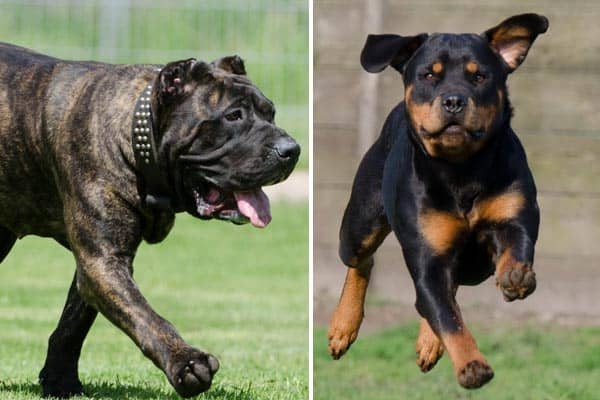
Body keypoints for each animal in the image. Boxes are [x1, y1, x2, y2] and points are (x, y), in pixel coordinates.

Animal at [0, 42, 300, 398]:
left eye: (271, 112)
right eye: (233, 116)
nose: (291, 149)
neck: (135, 135)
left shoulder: (101, 261)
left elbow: (75, 323)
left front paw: (61, 381)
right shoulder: (102, 260)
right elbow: (144, 316)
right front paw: (186, 363)